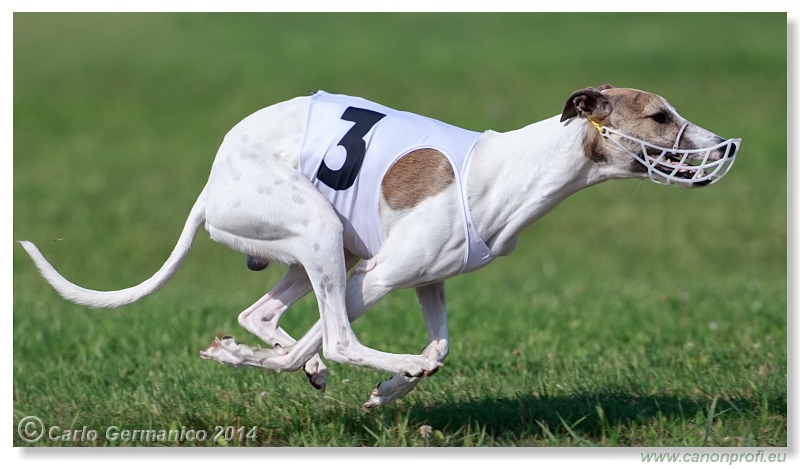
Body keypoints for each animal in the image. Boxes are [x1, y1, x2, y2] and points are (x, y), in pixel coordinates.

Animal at [21, 85, 736, 406]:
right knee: (329, 335)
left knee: (263, 315)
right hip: (321, 236)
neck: (511, 169)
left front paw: (388, 388)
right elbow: (351, 344)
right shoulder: (382, 276)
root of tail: (211, 184)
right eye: (660, 116)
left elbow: (442, 348)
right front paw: (392, 374)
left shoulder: (428, 280)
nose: (724, 148)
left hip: (325, 249)